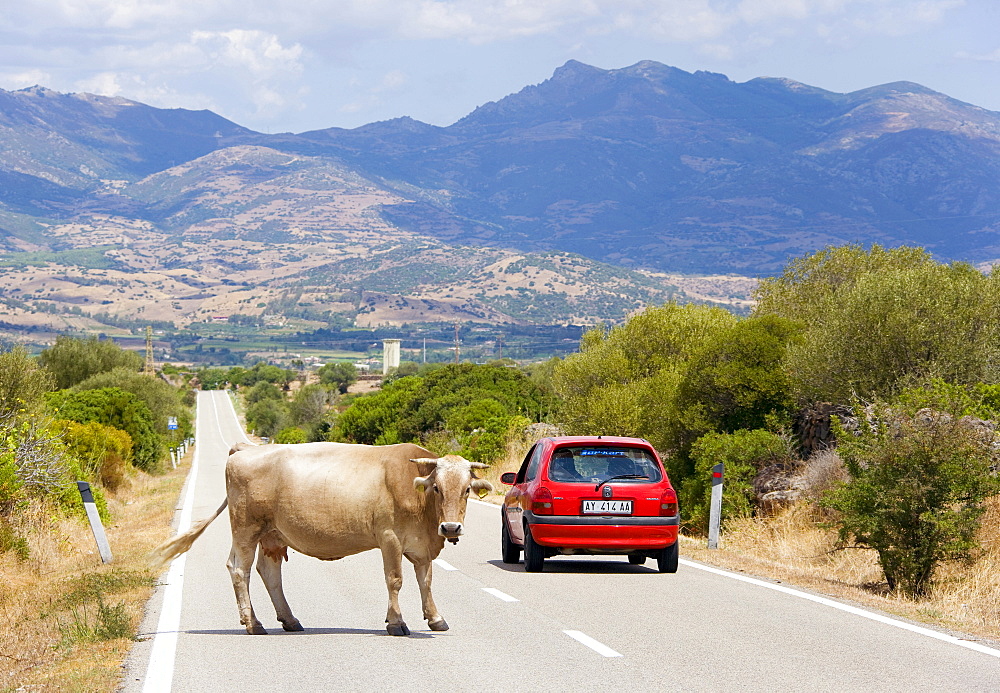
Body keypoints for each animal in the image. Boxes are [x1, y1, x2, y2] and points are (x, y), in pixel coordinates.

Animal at [149, 440, 492, 636]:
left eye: (466, 490)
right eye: (437, 488)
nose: (451, 528)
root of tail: (244, 449)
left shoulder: (422, 546)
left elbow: (426, 581)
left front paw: (435, 618)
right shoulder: (389, 539)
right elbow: (395, 580)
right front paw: (396, 622)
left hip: (272, 534)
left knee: (269, 573)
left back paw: (289, 620)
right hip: (246, 528)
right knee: (239, 569)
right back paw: (253, 623)